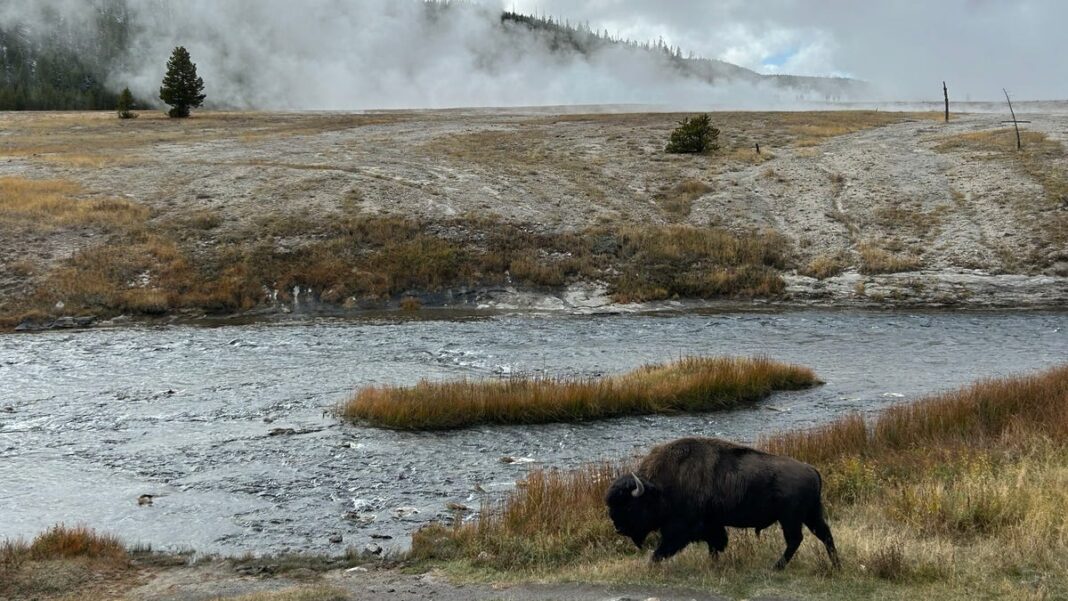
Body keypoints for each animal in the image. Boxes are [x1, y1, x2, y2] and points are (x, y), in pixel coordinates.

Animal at [606, 437, 837, 567]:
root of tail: (812, 470)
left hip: (790, 518)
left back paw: (776, 567)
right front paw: (714, 564)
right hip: (811, 514)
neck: (660, 488)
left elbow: (664, 548)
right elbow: (715, 545)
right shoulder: (712, 525)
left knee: (795, 540)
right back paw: (836, 565)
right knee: (824, 534)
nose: (618, 528)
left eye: (629, 505)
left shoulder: (681, 529)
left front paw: (651, 564)